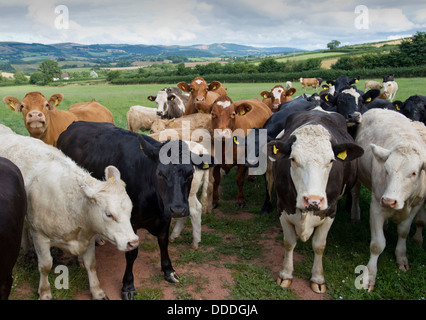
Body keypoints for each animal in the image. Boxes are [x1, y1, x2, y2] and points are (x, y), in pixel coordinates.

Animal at [0, 125, 138, 300]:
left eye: (130, 210)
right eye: (109, 214)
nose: (133, 242)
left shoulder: (88, 237)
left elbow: (91, 264)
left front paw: (97, 291)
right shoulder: (39, 236)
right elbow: (45, 266)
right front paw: (44, 292)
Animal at [57, 120, 213, 300]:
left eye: (190, 173)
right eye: (160, 173)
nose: (178, 209)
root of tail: (75, 124)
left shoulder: (165, 216)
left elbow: (163, 242)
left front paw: (168, 270)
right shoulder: (130, 221)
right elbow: (132, 253)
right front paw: (128, 285)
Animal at [266, 109, 362, 294]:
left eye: (331, 160)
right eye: (293, 159)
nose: (313, 200)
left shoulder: (330, 210)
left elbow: (319, 245)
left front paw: (318, 278)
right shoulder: (282, 207)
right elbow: (289, 242)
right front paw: (285, 274)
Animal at [352, 109, 424, 292]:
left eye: (414, 173)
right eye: (386, 169)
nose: (389, 201)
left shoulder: (416, 206)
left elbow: (404, 231)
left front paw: (402, 257)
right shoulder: (377, 206)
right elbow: (378, 244)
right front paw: (369, 275)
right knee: (355, 193)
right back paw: (355, 215)